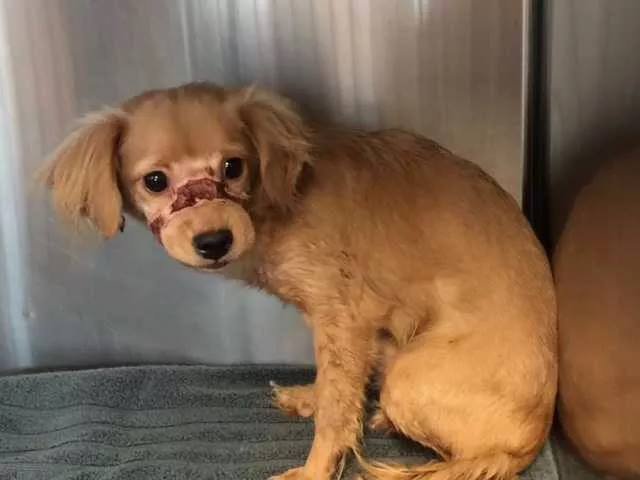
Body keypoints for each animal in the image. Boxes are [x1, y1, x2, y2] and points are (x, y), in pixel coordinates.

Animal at [42, 83, 557, 480]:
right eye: (154, 180)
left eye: (233, 166)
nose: (215, 241)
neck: (274, 204)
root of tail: (526, 446)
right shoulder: (340, 327)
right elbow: (335, 389)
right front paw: (315, 397)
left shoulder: (345, 317)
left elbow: (336, 413)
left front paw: (314, 470)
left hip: (409, 378)